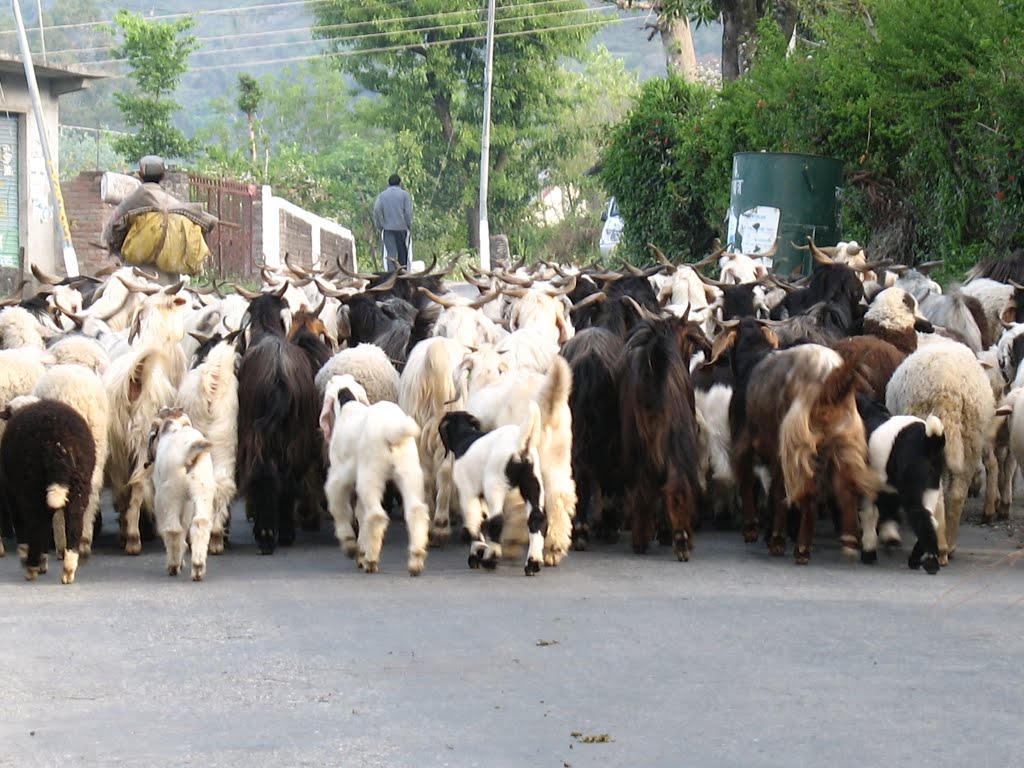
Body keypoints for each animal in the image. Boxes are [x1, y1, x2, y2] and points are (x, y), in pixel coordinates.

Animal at [321, 372, 430, 577]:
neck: (348, 404)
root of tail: (392, 430)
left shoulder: (339, 475)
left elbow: (339, 507)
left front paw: (351, 546)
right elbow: (360, 513)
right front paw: (361, 553)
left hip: (370, 473)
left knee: (376, 515)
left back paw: (372, 560)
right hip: (409, 471)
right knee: (416, 511)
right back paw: (416, 559)